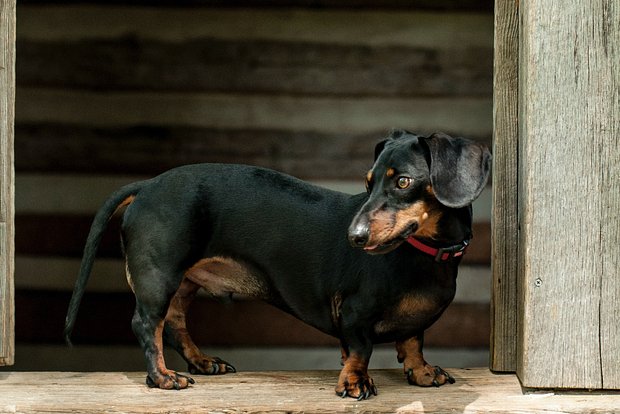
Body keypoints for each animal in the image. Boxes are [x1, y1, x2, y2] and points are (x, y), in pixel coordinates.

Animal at [65, 131, 492, 400]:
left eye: (402, 181)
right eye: (368, 183)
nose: (352, 237)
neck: (422, 253)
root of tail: (148, 185)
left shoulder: (413, 322)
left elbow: (413, 339)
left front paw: (421, 371)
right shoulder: (353, 313)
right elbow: (360, 348)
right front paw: (355, 381)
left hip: (183, 282)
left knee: (174, 324)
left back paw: (204, 362)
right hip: (159, 275)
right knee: (146, 325)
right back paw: (163, 378)